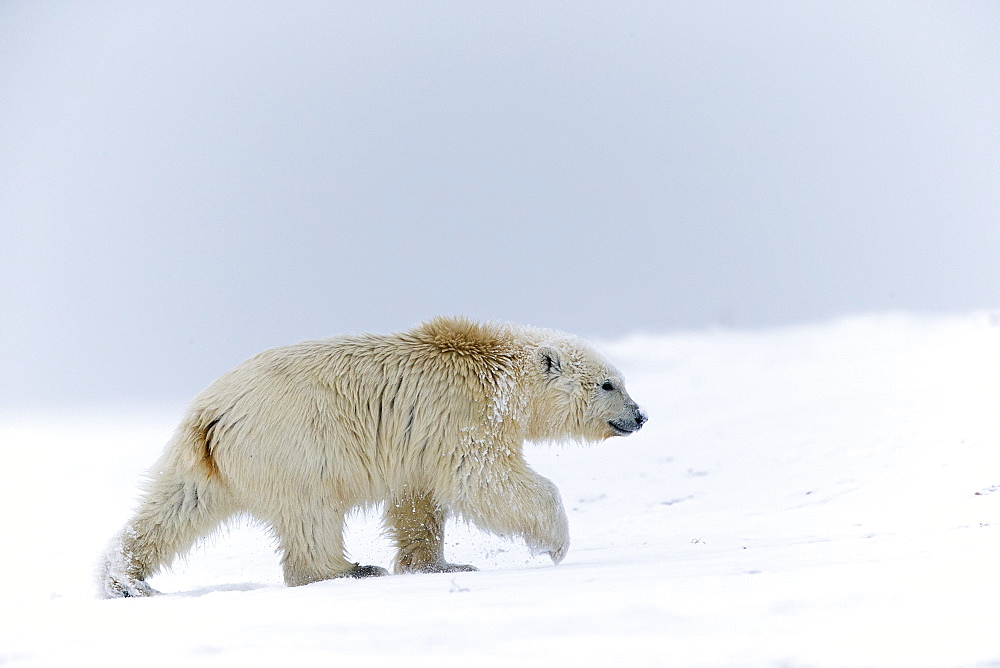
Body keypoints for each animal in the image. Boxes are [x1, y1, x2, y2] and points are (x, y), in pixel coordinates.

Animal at [101, 316, 648, 596]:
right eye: (609, 384)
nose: (641, 415)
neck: (495, 368)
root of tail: (210, 415)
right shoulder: (463, 416)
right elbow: (482, 478)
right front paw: (555, 542)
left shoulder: (420, 442)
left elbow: (417, 502)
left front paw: (439, 565)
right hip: (295, 443)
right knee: (312, 512)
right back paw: (347, 570)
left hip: (209, 462)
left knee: (174, 507)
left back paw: (125, 579)